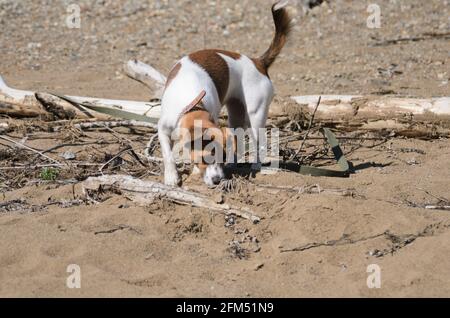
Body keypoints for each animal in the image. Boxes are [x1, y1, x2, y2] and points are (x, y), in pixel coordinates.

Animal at [157, 0, 292, 186]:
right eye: (204, 159)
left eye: (222, 157)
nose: (217, 180)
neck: (191, 103)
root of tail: (258, 62)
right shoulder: (162, 129)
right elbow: (167, 154)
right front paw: (171, 177)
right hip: (236, 115)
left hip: (255, 116)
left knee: (259, 144)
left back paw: (256, 166)